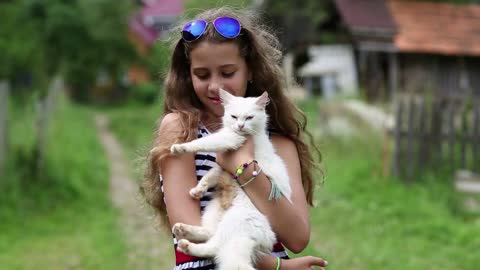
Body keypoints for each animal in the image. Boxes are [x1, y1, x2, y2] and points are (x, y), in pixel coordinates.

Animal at [171, 89, 290, 270]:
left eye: (249, 118)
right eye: (234, 116)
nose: (240, 126)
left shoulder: (230, 139)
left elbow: (203, 142)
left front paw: (180, 147)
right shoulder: (221, 168)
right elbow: (209, 176)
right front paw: (198, 190)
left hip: (235, 221)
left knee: (214, 247)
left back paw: (185, 244)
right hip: (213, 212)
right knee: (210, 234)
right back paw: (182, 230)